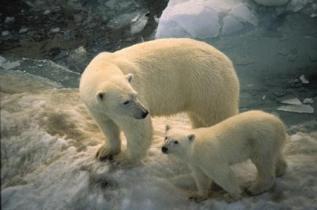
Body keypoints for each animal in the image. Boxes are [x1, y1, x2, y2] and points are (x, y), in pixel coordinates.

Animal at [79, 38, 239, 163]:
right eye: (125, 101)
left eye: (135, 95)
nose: (144, 112)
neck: (104, 67)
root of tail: (227, 60)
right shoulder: (95, 106)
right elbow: (107, 125)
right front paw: (104, 151)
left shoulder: (134, 95)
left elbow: (137, 129)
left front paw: (123, 158)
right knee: (198, 116)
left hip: (208, 85)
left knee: (218, 114)